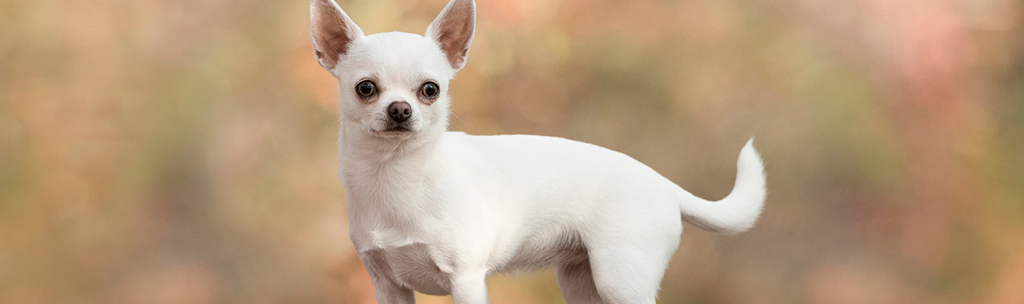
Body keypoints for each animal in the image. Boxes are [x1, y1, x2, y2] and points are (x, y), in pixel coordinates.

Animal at [307, 0, 765, 300]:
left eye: (430, 90)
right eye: (366, 88)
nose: (400, 110)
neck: (396, 175)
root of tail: (663, 182)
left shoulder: (466, 280)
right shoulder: (388, 285)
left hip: (620, 278)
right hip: (583, 282)